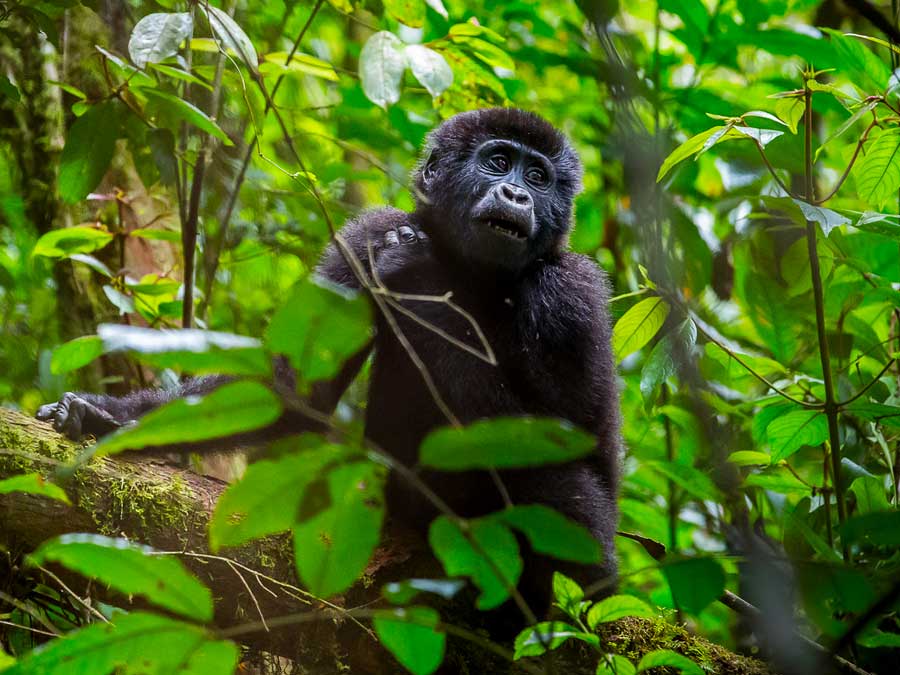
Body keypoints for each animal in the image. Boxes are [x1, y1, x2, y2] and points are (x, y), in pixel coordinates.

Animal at [38, 105, 624, 628]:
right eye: (498, 162)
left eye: (539, 177)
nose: (518, 194)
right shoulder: (366, 235)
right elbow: (293, 389)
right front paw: (106, 417)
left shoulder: (571, 291)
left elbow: (563, 431)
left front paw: (419, 276)